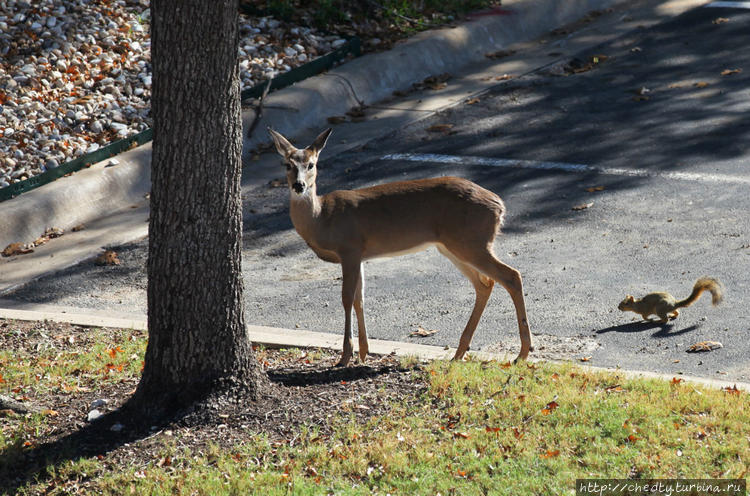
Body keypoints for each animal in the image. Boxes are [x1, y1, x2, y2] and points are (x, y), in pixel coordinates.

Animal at [268, 128, 532, 368]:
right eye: (287, 165)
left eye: (311, 164)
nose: (299, 186)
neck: (322, 219)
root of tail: (499, 205)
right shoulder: (360, 255)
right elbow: (359, 298)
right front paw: (363, 352)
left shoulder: (349, 248)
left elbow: (346, 298)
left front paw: (346, 355)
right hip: (454, 246)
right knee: (484, 284)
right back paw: (459, 353)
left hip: (471, 241)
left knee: (511, 275)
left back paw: (522, 353)